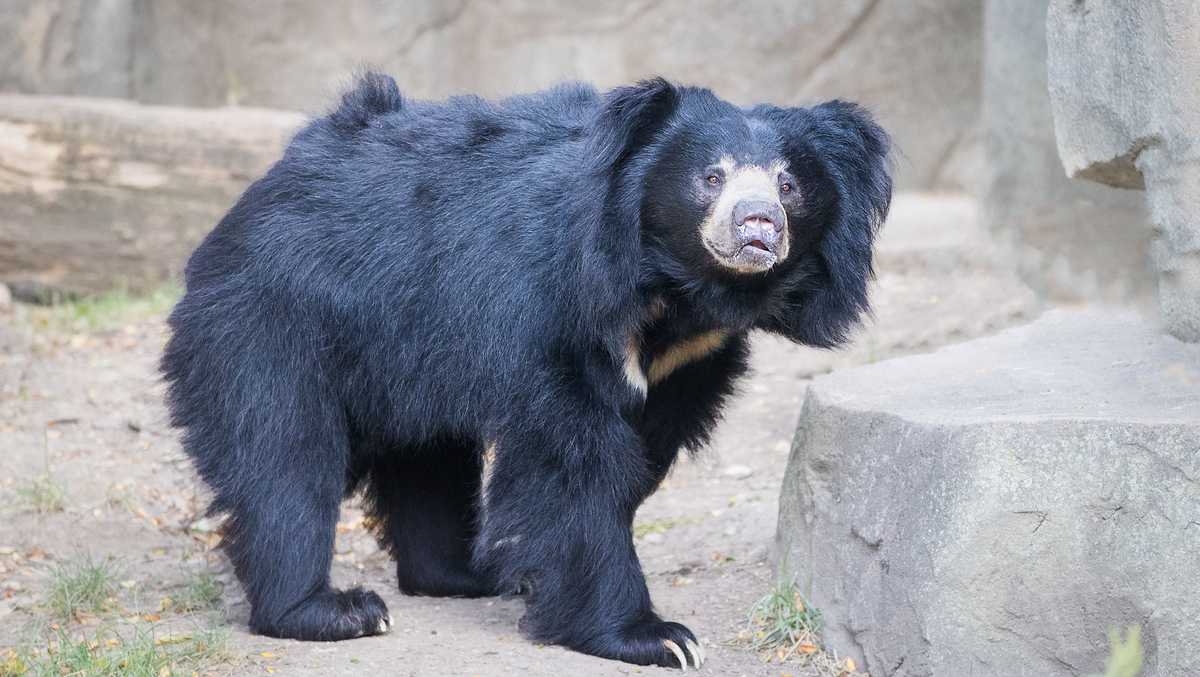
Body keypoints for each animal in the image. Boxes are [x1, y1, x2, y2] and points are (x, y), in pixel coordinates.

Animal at [160, 72, 891, 669]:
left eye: (789, 184)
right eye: (711, 177)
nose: (758, 225)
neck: (674, 288)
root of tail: (268, 181)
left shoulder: (692, 359)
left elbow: (635, 455)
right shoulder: (552, 304)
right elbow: (571, 466)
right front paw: (656, 636)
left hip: (408, 350)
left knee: (428, 456)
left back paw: (467, 573)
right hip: (272, 319)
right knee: (283, 452)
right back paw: (330, 610)